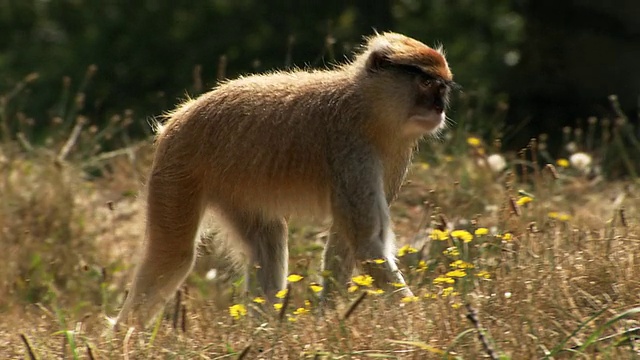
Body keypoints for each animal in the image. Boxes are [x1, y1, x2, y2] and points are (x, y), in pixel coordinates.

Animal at [115, 32, 456, 326]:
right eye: (426, 82)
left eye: (442, 88)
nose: (439, 107)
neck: (368, 106)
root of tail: (178, 118)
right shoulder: (351, 149)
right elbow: (367, 242)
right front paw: (421, 323)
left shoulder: (393, 155)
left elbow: (344, 242)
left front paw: (328, 321)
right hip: (179, 169)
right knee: (173, 255)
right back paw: (124, 337)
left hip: (233, 188)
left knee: (267, 240)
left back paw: (264, 330)